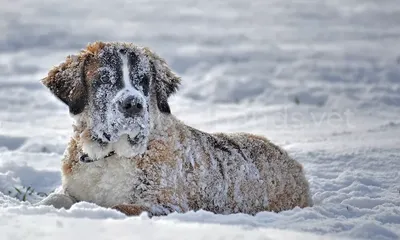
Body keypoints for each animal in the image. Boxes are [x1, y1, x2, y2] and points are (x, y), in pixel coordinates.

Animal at [37, 41, 312, 216]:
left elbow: (119, 207)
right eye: (104, 79)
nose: (133, 104)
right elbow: (54, 199)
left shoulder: (166, 205)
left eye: (143, 80)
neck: (110, 155)